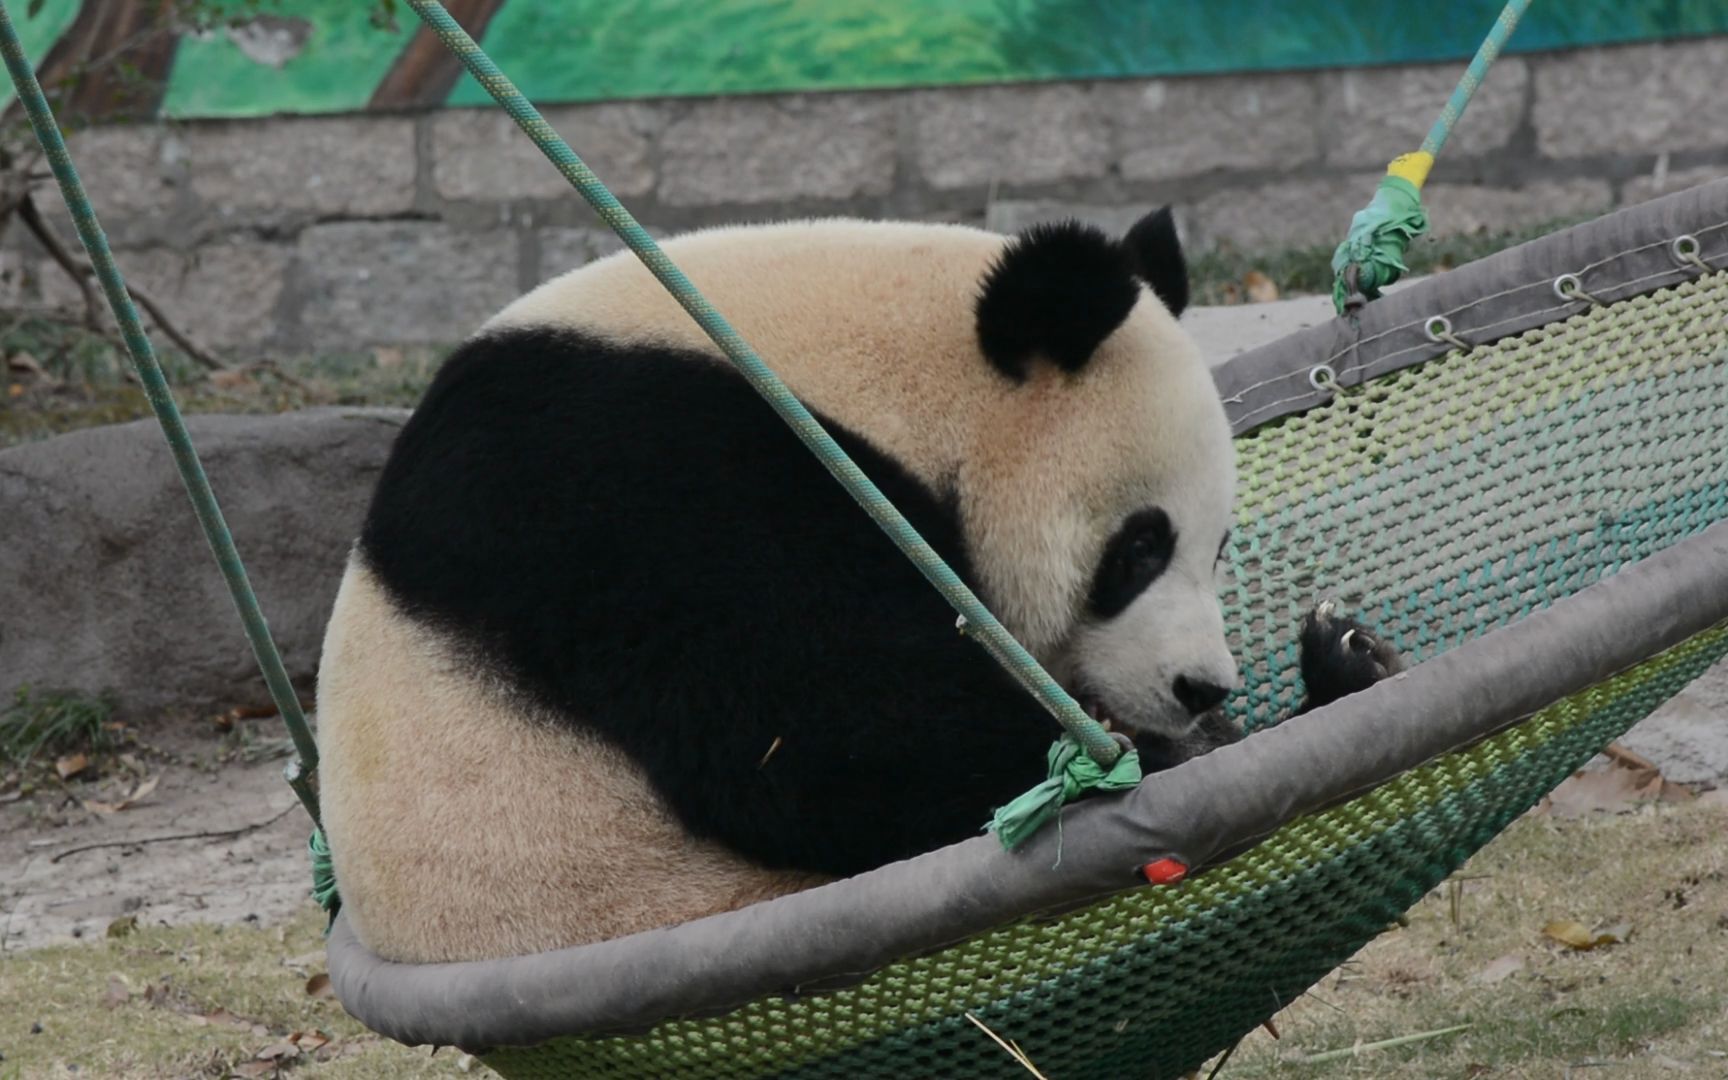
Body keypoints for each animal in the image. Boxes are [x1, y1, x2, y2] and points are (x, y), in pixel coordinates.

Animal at [314, 208, 1403, 960]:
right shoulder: (644, 487)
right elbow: (827, 733)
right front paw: (1188, 751)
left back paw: (1348, 666)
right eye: (1137, 549)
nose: (1200, 687)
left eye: (1216, 547)